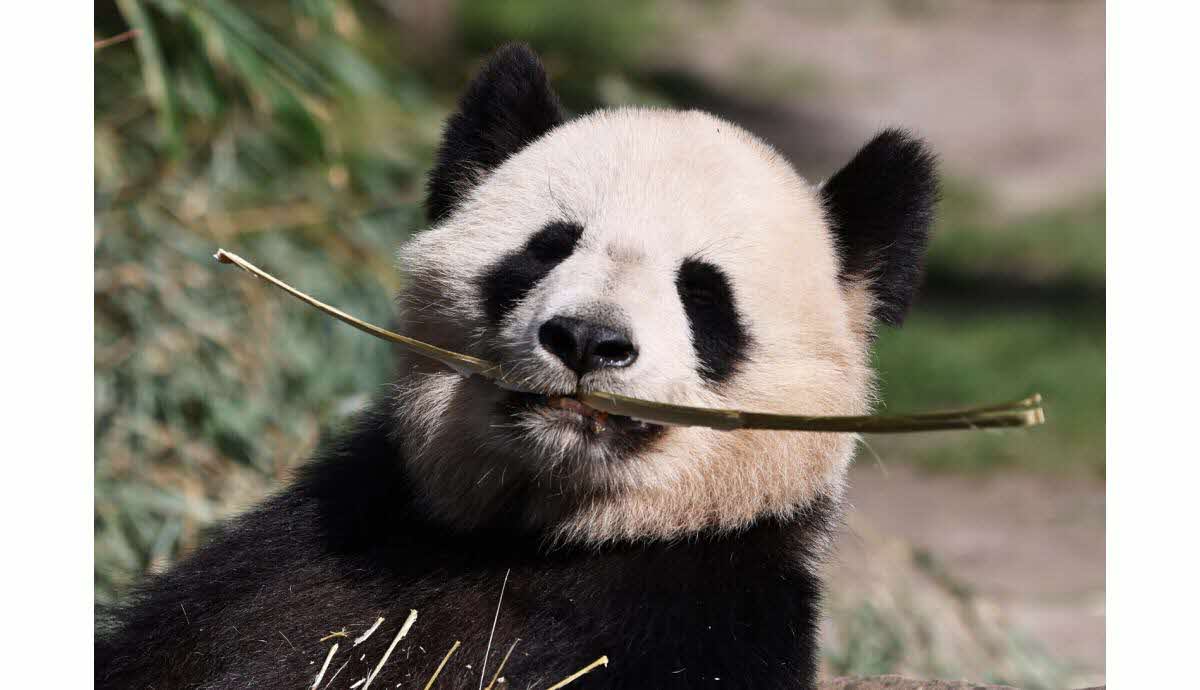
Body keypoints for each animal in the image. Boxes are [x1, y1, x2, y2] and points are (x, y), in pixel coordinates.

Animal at [96, 45, 937, 689]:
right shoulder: (307, 556)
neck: (539, 535)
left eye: (702, 293)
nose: (588, 340)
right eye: (548, 248)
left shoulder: (707, 613)